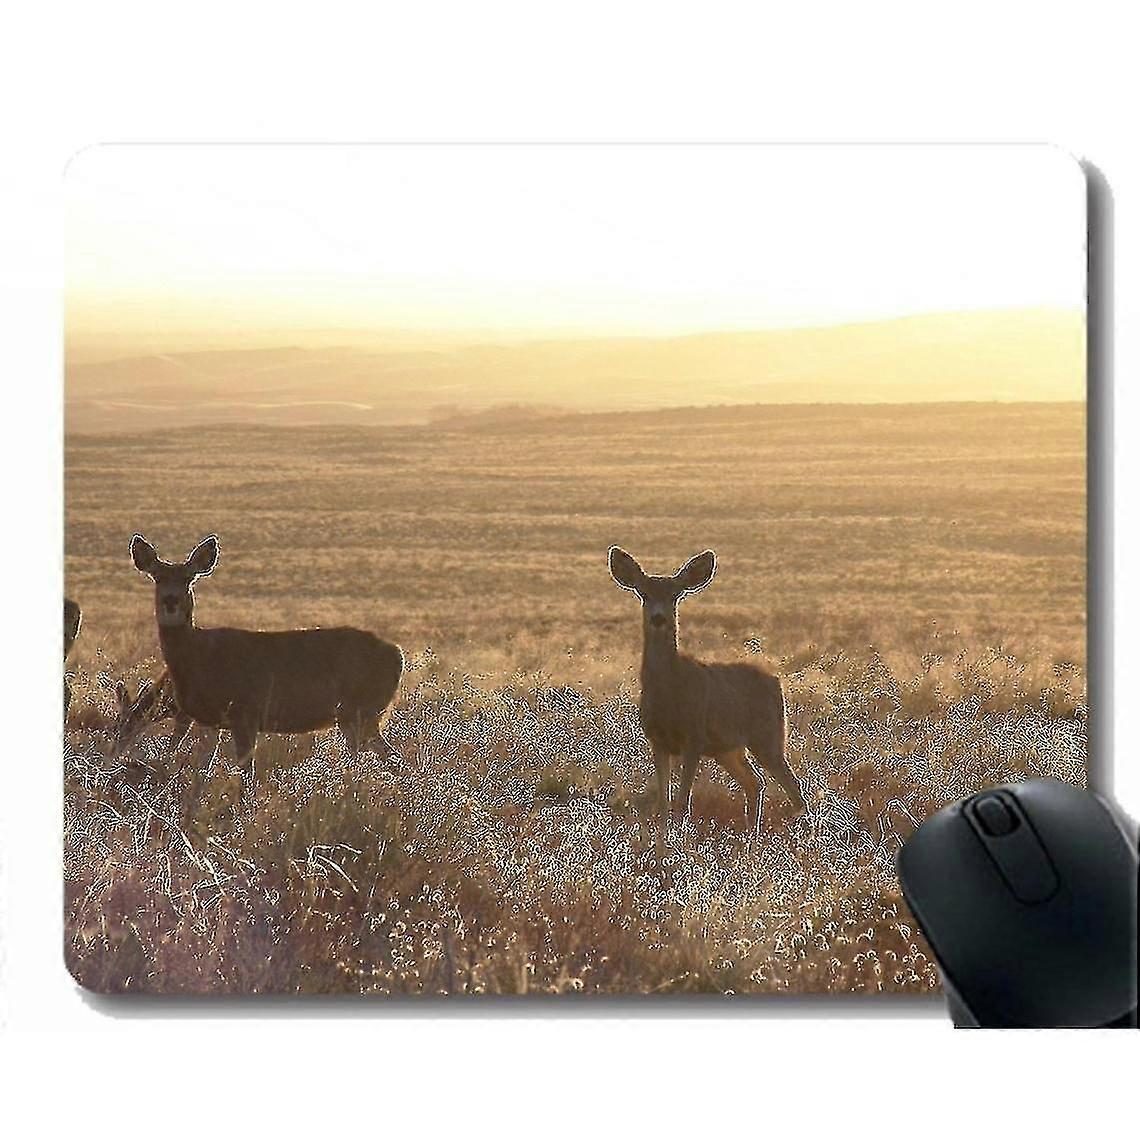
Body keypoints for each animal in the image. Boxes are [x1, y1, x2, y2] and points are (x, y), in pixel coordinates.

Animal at [129, 534, 404, 796]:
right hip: (360, 715)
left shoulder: (245, 712)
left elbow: (245, 775)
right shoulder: (211, 721)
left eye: (188, 578)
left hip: (360, 712)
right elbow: (202, 772)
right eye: (157, 577)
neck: (199, 655)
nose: (171, 600)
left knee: (384, 758)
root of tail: (398, 654)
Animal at [608, 546, 805, 856]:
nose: (658, 618)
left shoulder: (694, 738)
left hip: (767, 736)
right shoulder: (657, 741)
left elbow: (682, 802)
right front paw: (663, 843)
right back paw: (751, 839)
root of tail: (776, 681)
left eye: (675, 594)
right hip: (728, 748)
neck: (668, 692)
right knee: (755, 782)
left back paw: (806, 836)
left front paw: (677, 844)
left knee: (793, 784)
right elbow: (663, 802)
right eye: (644, 593)